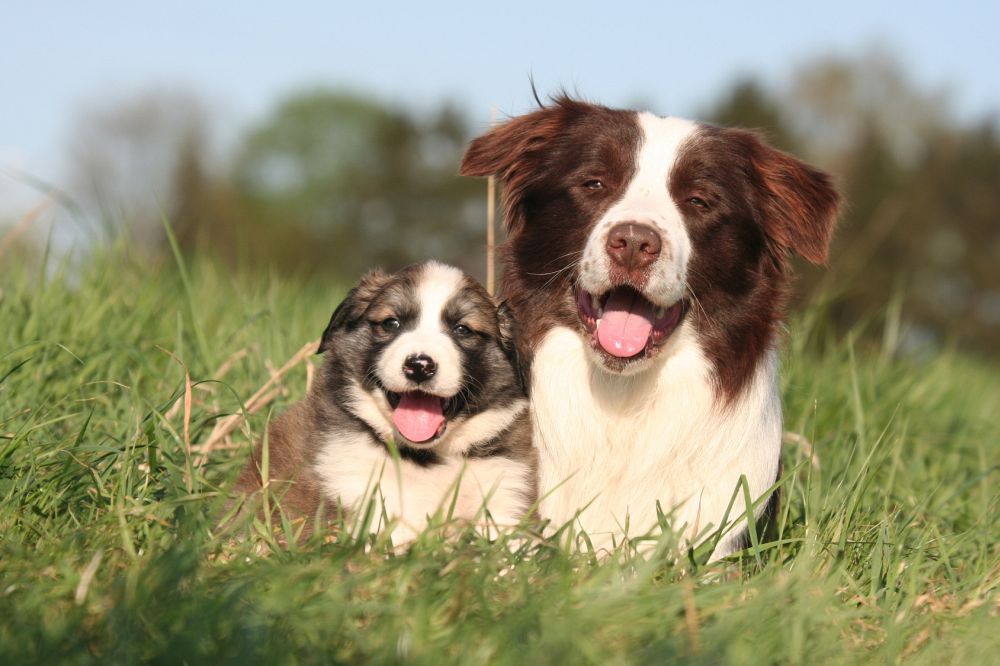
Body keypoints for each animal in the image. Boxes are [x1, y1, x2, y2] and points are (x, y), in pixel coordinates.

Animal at [237, 258, 536, 540]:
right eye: (392, 323)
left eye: (462, 330)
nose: (419, 365)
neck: (427, 457)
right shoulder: (354, 488)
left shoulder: (504, 492)